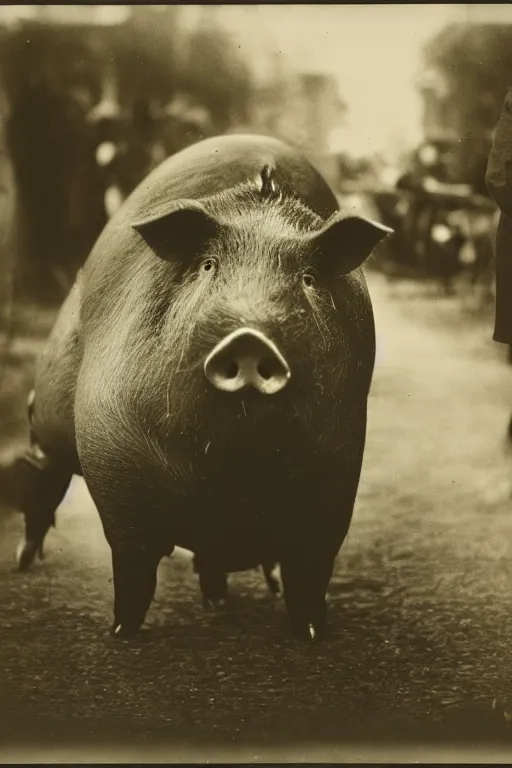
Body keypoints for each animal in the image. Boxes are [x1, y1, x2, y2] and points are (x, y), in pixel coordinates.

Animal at [4, 134, 392, 640]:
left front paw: (311, 636)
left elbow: (310, 572)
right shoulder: (112, 449)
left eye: (307, 280)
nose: (249, 338)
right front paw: (121, 634)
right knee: (40, 472)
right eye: (209, 266)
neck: (230, 465)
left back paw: (219, 598)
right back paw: (23, 562)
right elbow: (132, 565)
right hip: (50, 408)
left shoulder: (337, 470)